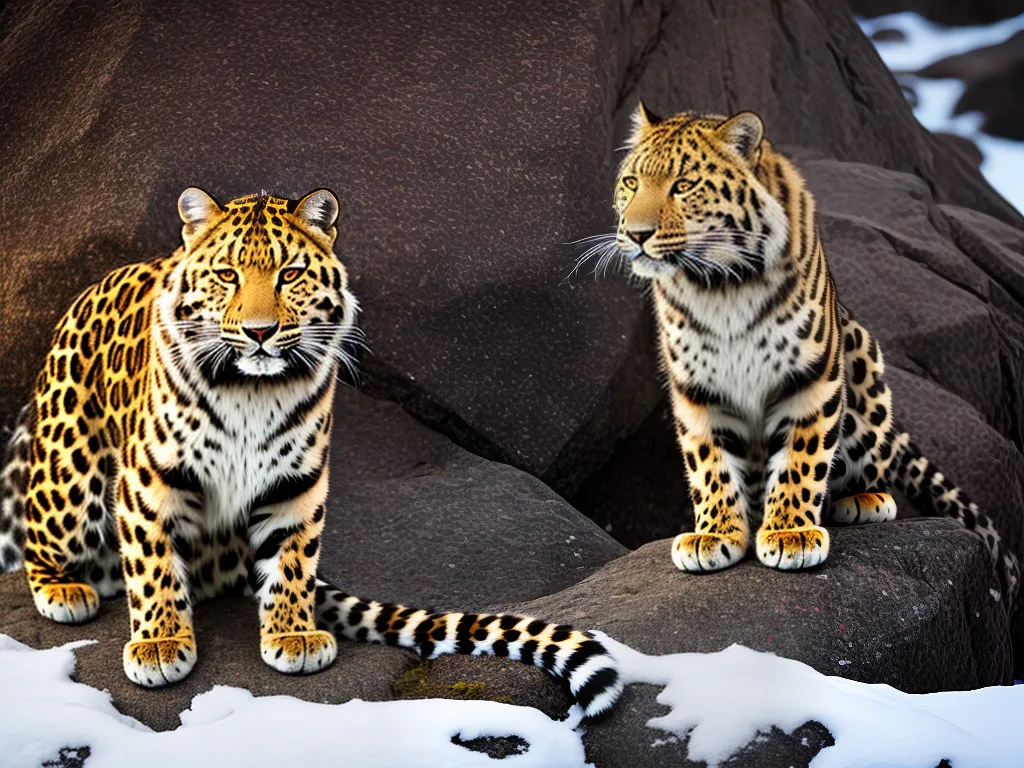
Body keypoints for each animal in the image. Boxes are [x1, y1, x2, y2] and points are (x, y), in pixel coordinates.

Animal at [0, 187, 622, 717]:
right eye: (227, 275)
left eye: (290, 274)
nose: (259, 332)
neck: (249, 391)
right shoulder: (149, 478)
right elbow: (153, 566)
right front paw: (160, 643)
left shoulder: (296, 479)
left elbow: (294, 560)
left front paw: (292, 634)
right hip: (68, 472)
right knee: (43, 536)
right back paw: (64, 588)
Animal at [602, 103, 1019, 599]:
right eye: (631, 183)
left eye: (683, 185)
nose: (636, 233)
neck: (719, 289)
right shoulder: (695, 388)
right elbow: (709, 465)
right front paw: (715, 534)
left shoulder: (811, 375)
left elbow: (801, 458)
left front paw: (790, 534)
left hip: (862, 356)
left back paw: (863, 499)